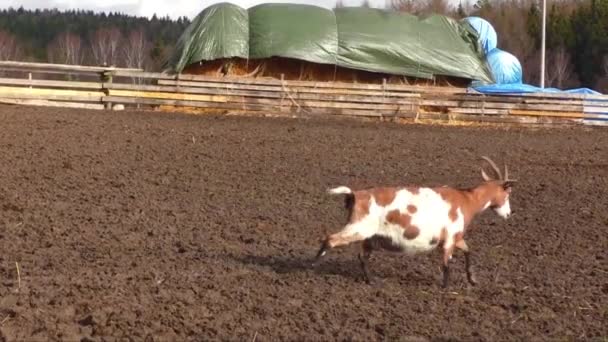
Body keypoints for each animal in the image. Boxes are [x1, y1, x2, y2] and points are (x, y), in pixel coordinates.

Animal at [314, 156, 516, 288]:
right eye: (508, 194)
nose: (508, 214)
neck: (466, 199)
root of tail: (355, 194)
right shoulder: (450, 239)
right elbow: (446, 264)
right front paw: (446, 288)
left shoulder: (456, 238)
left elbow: (468, 251)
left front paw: (472, 279)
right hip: (358, 228)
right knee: (330, 239)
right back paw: (314, 264)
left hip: (368, 236)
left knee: (362, 257)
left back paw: (372, 281)